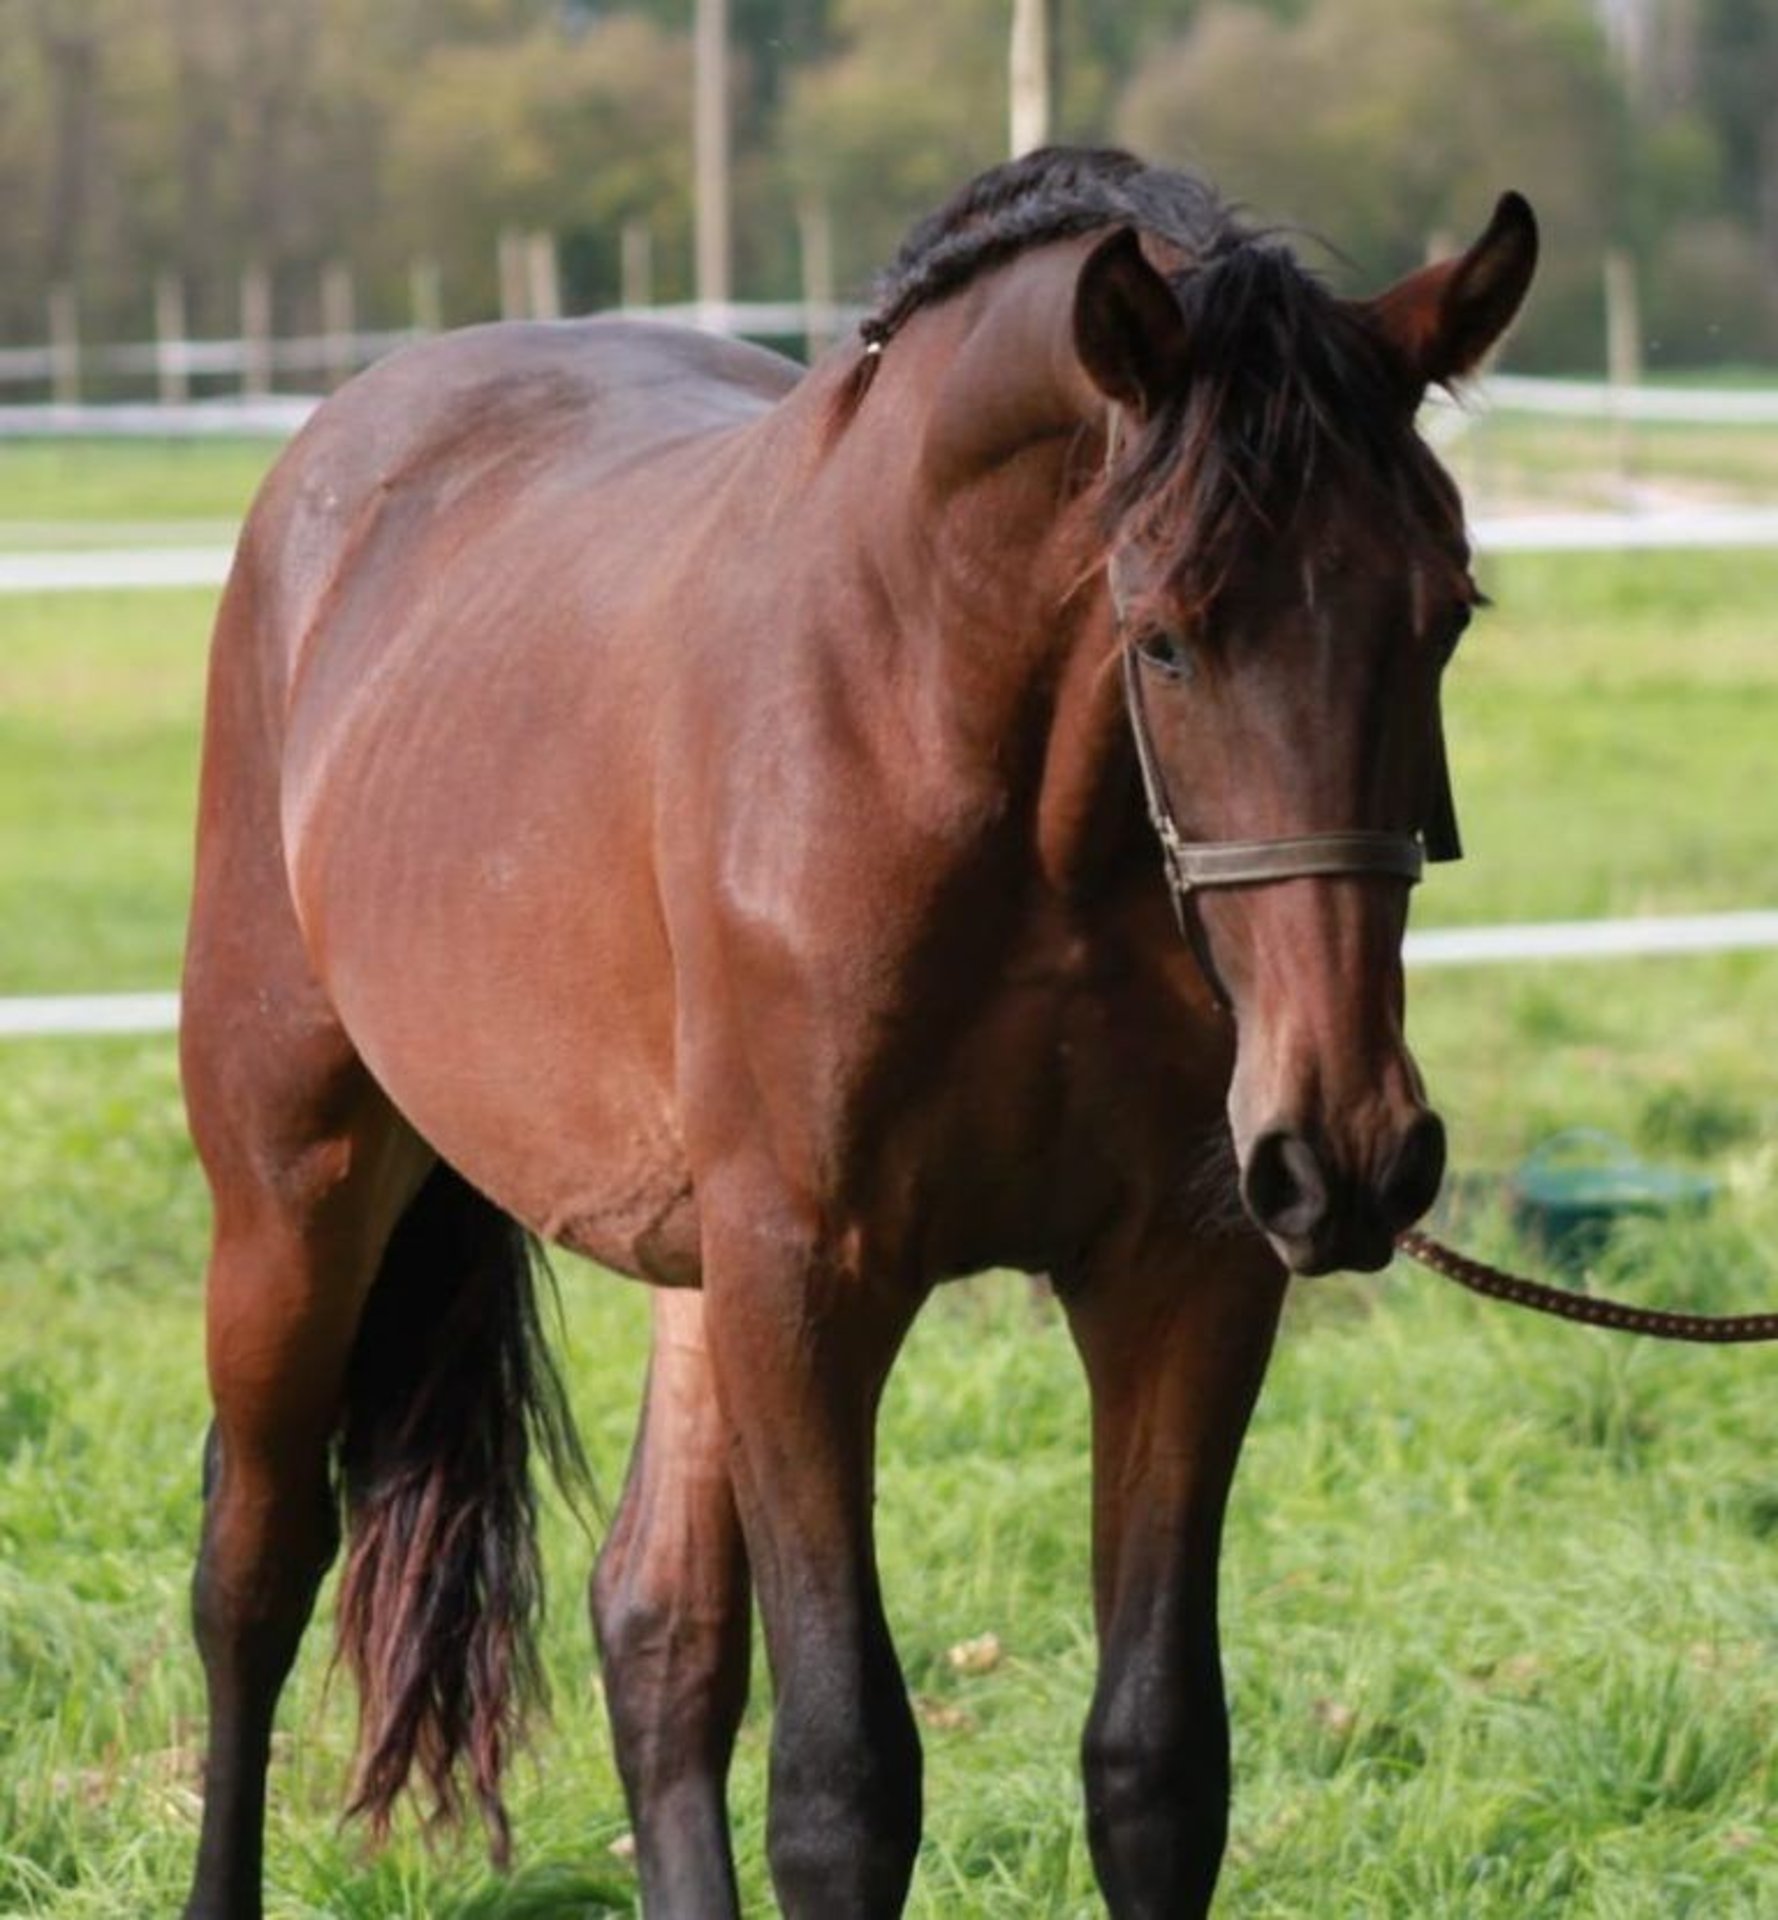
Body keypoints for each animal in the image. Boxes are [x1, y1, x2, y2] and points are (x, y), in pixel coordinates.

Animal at [180, 153, 1536, 1920]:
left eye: (1444, 616)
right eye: (1164, 634)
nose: (1352, 1152)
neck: (950, 747)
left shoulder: (1182, 1276)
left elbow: (1155, 1762)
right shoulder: (812, 1282)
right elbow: (842, 1786)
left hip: (693, 1275)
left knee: (657, 1627)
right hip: (295, 1192)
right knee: (253, 1571)